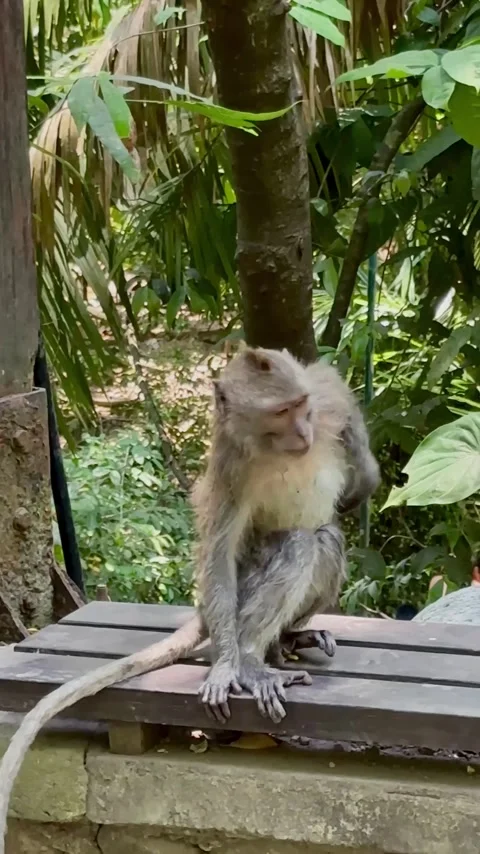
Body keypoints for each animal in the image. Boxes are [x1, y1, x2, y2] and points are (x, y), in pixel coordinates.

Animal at [0, 347, 380, 853]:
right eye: (281, 412)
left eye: (301, 406)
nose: (305, 432)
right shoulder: (231, 462)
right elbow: (220, 551)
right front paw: (229, 667)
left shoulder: (327, 392)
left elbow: (364, 474)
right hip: (233, 600)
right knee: (301, 542)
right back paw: (252, 659)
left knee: (326, 537)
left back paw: (287, 639)